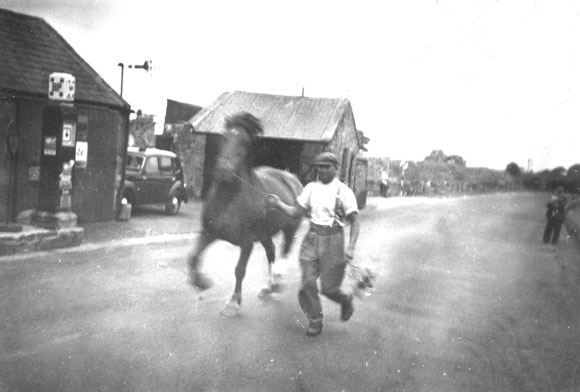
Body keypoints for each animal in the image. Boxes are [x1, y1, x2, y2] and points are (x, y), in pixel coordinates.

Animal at [188, 112, 304, 316]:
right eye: (224, 136)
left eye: (244, 142)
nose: (223, 169)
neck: (229, 200)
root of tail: (293, 179)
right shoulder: (208, 233)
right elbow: (193, 258)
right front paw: (202, 283)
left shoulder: (247, 242)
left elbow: (239, 270)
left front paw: (234, 303)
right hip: (265, 234)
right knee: (271, 253)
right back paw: (268, 287)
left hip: (289, 229)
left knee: (285, 250)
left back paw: (276, 283)